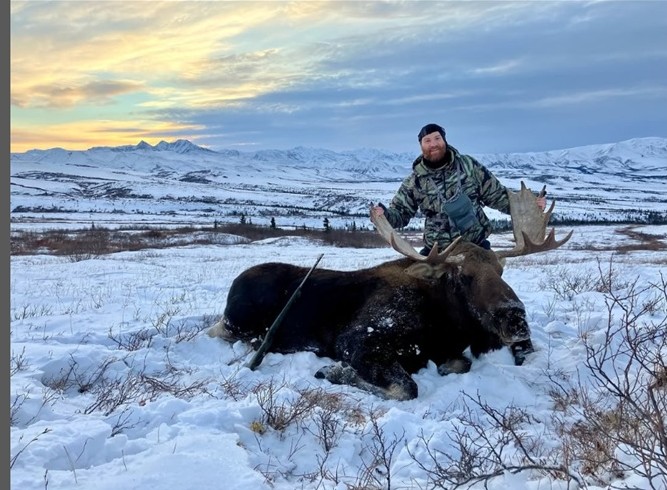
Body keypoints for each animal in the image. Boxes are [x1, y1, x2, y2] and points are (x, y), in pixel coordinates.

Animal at [210, 182, 576, 400]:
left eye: (501, 271)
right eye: (463, 276)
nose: (516, 318)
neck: (446, 324)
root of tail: (233, 287)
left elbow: (458, 364)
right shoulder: (357, 340)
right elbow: (406, 388)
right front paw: (333, 371)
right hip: (238, 325)